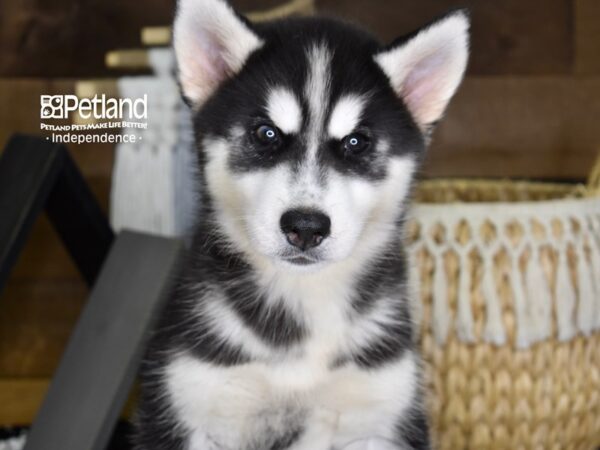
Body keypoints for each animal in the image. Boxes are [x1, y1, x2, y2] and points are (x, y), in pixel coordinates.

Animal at [135, 1, 468, 448]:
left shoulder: (381, 412)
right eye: (265, 133)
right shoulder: (190, 403)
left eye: (356, 142)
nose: (306, 227)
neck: (305, 301)